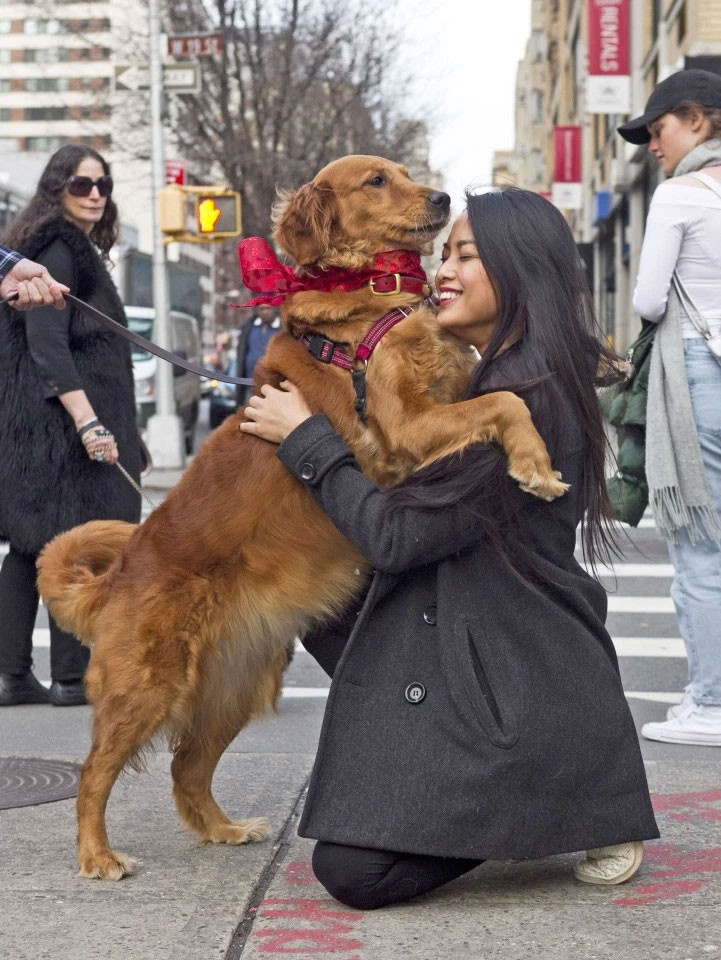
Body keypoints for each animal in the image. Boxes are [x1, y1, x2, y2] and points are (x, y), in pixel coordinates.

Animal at [38, 154, 568, 880]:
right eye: (376, 181)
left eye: (403, 173)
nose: (441, 197)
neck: (375, 292)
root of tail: (118, 573)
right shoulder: (407, 425)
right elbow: (507, 401)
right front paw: (535, 464)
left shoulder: (448, 394)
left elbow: (497, 389)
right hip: (147, 684)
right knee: (94, 772)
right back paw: (97, 855)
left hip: (236, 685)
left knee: (186, 766)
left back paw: (223, 829)